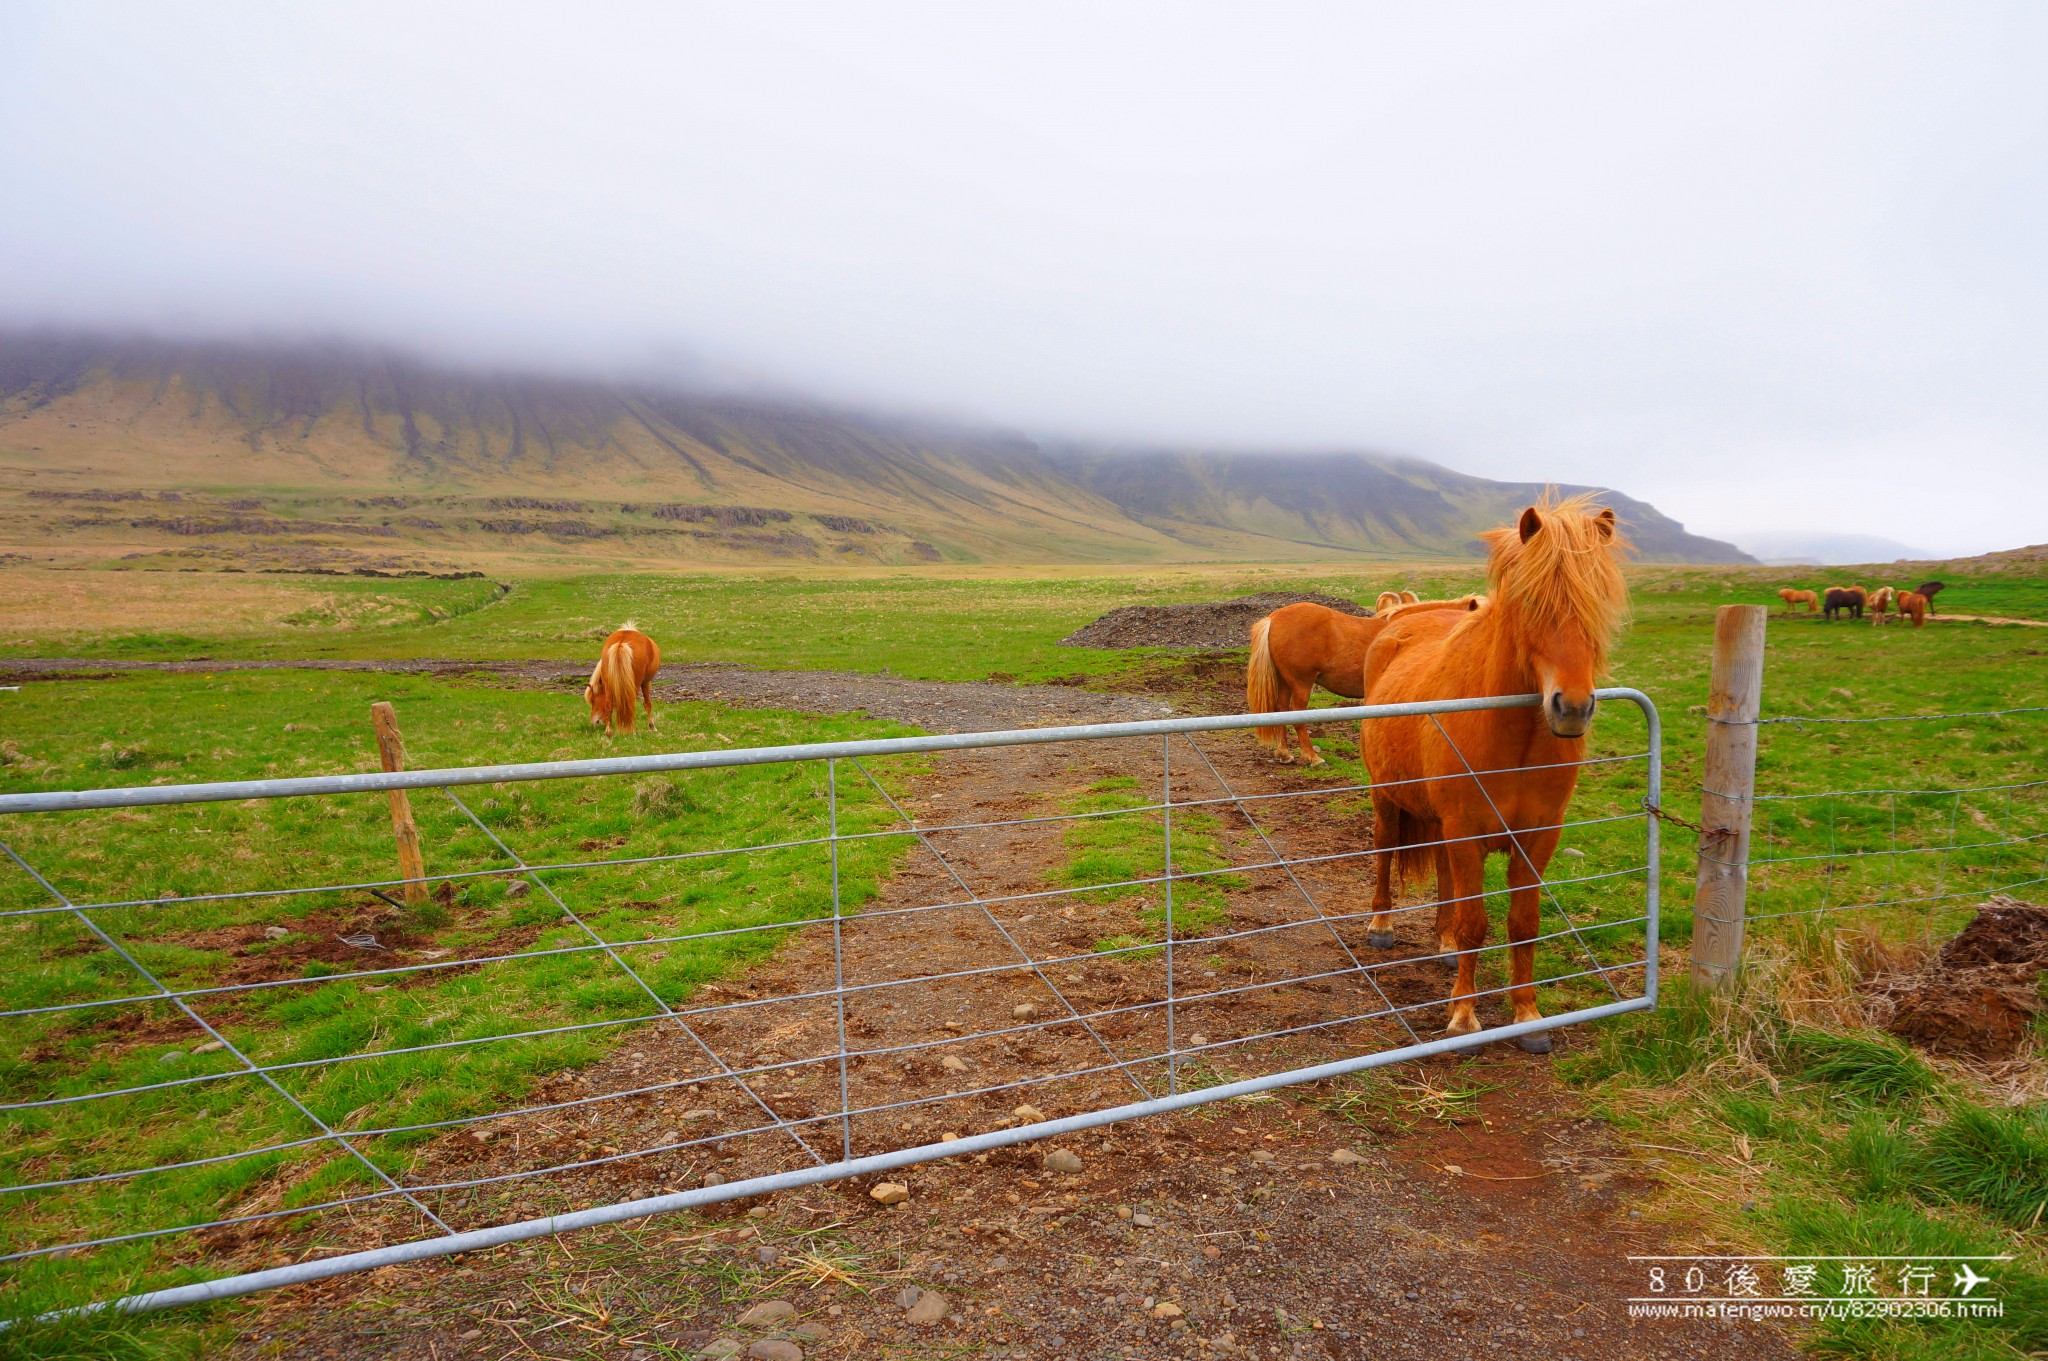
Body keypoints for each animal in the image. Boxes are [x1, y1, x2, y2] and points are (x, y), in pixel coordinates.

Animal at [1236, 597, 1482, 765]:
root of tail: (1273, 619)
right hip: (1301, 682)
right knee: (1297, 714)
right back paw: (1312, 757)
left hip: (1285, 681)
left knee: (1281, 710)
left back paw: (1285, 754)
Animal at [1359, 491, 1630, 1047]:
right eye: (1530, 602)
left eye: (1600, 603)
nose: (1572, 708)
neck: (1516, 741)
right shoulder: (1467, 830)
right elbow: (1475, 923)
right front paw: (1464, 1016)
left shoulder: (1537, 835)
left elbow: (1522, 923)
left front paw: (1528, 1016)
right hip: (1387, 798)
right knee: (1385, 851)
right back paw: (1381, 926)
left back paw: (1441, 943)